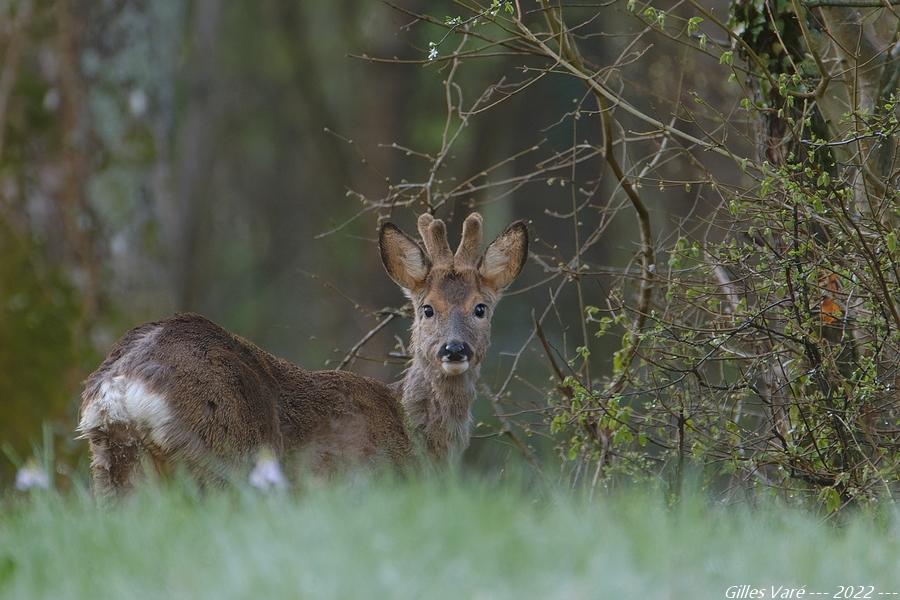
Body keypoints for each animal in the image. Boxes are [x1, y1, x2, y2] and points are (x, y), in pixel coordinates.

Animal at [79, 213, 528, 494]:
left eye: (480, 308)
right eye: (427, 308)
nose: (454, 348)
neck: (416, 438)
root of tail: (120, 387)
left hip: (111, 463)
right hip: (221, 453)